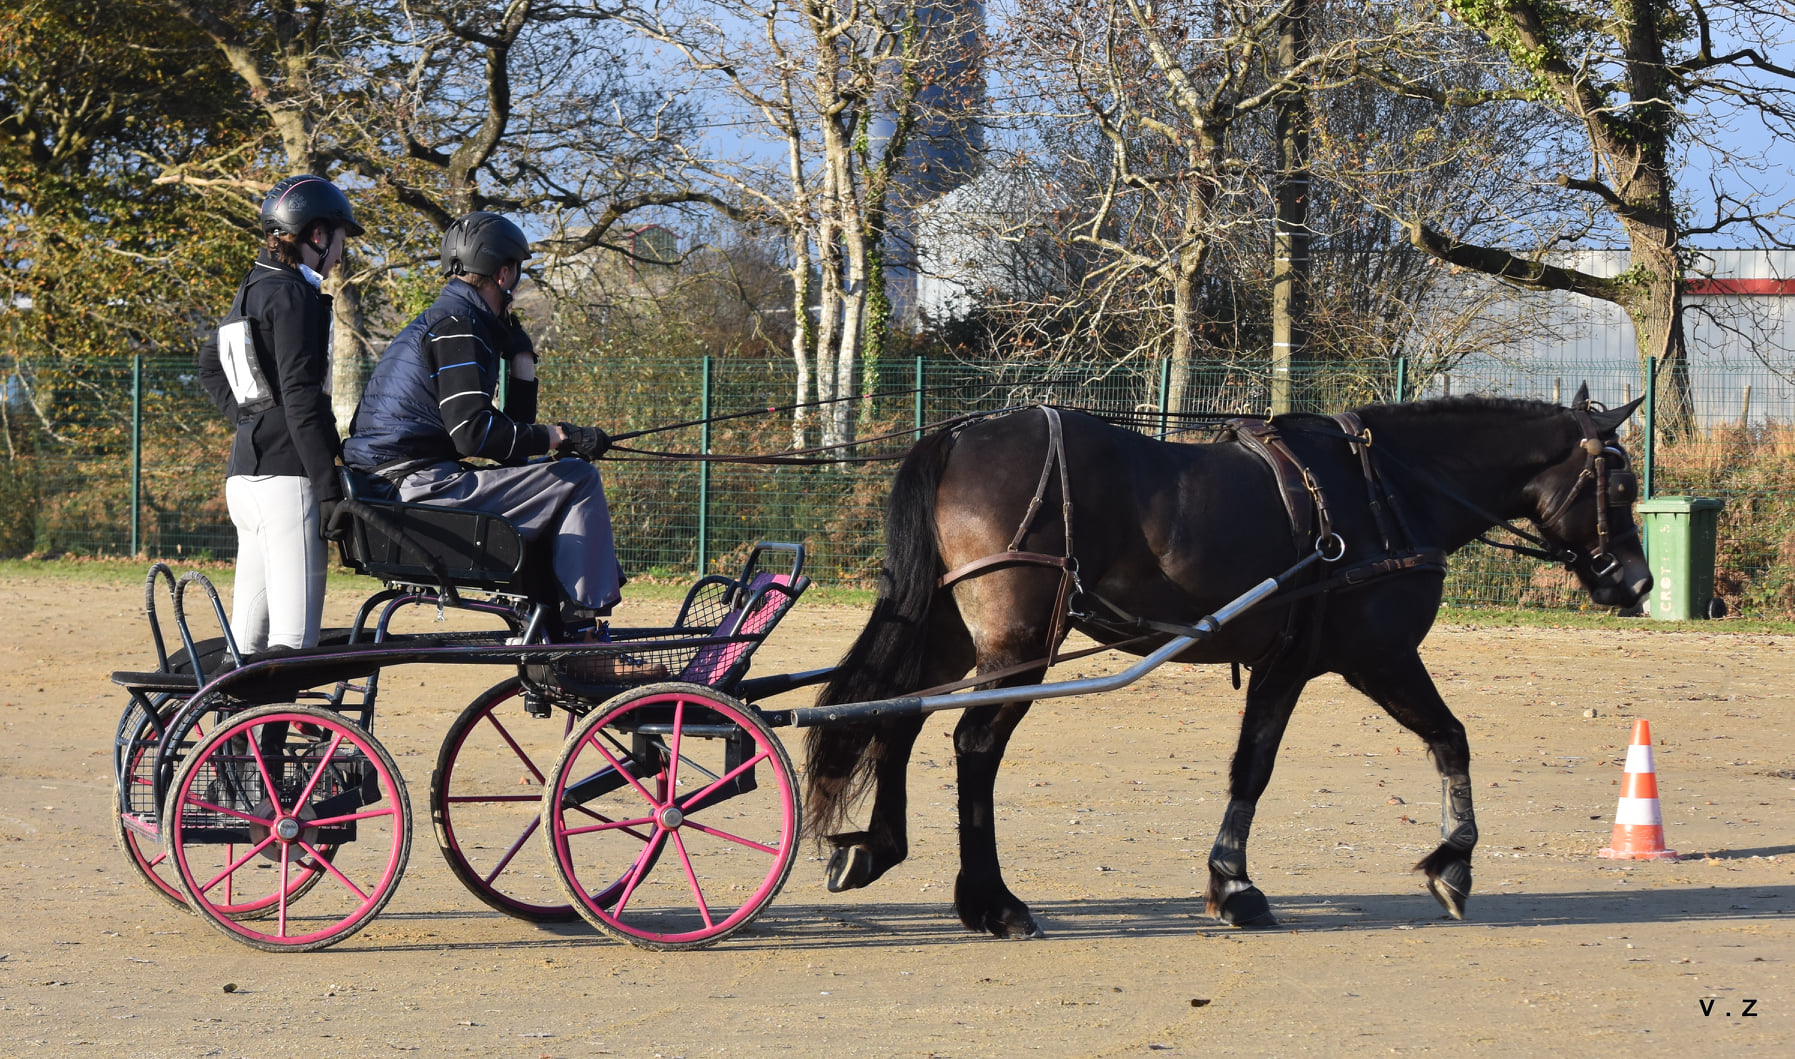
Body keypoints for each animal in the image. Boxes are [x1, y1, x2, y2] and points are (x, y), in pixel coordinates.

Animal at [807, 393, 1644, 940]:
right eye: (1620, 482)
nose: (1634, 582)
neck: (1383, 491)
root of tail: (963, 430)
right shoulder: (1373, 657)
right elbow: (1442, 738)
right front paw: (1450, 862)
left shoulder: (1293, 663)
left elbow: (1257, 766)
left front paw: (1231, 880)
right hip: (1017, 649)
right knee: (973, 746)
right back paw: (992, 901)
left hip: (953, 637)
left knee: (897, 720)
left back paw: (877, 849)